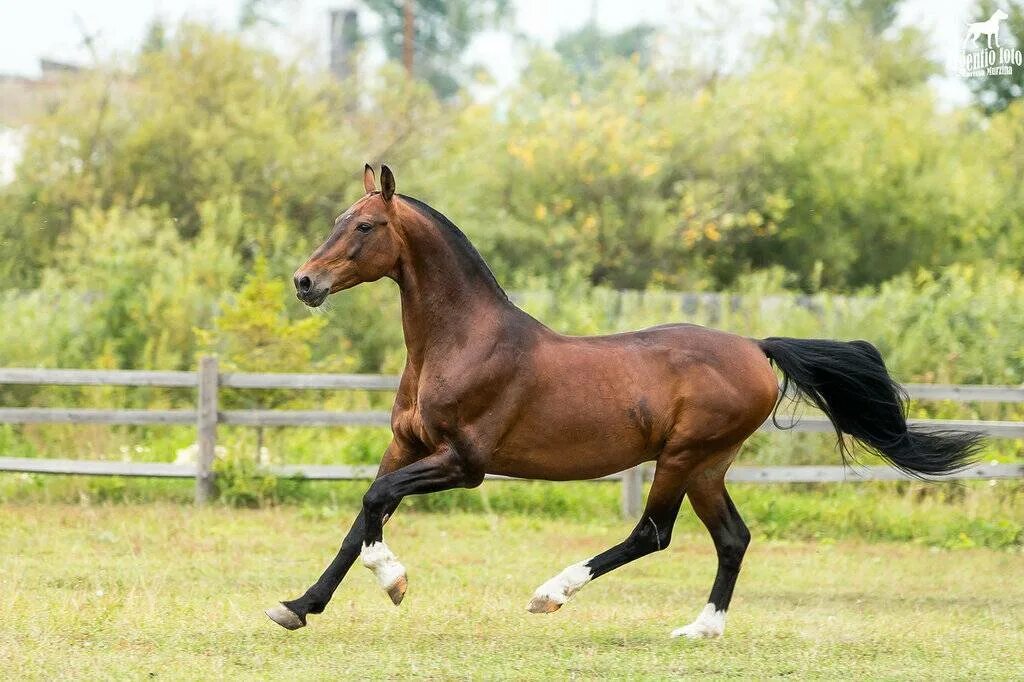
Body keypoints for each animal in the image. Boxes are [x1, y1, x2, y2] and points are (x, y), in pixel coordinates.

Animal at [266, 164, 983, 638]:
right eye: (335, 221)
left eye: (364, 226)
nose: (304, 281)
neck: (462, 342)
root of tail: (756, 346)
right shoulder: (406, 445)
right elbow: (362, 516)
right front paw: (298, 607)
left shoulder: (464, 464)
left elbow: (374, 504)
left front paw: (393, 580)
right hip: (707, 466)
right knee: (733, 537)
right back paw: (700, 629)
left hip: (682, 457)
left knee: (653, 533)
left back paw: (551, 594)